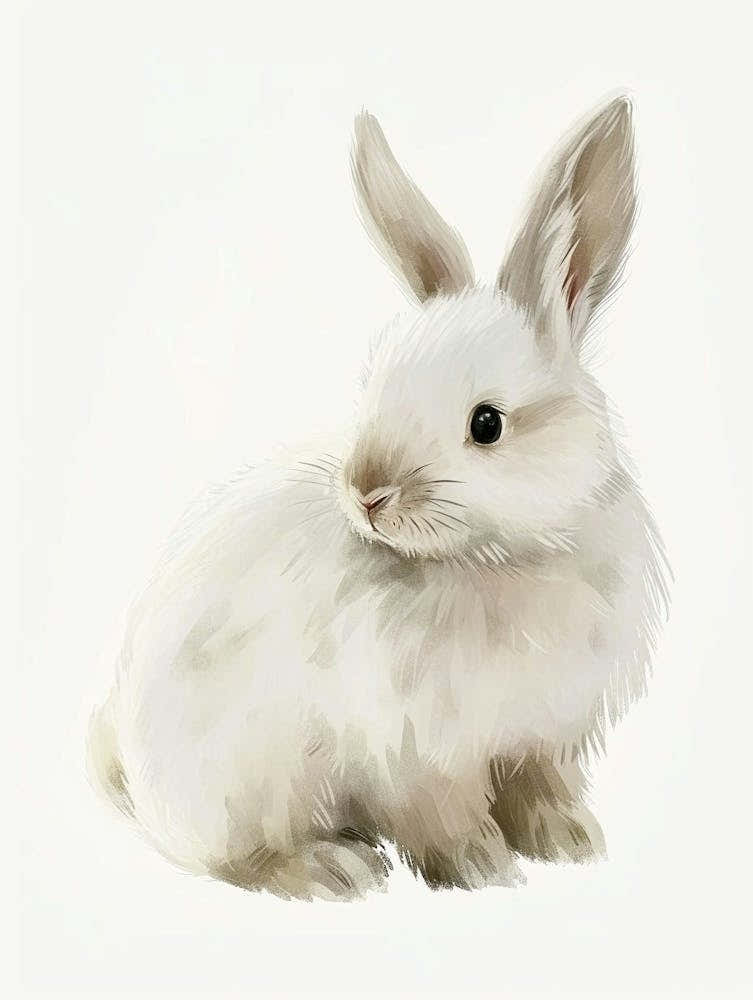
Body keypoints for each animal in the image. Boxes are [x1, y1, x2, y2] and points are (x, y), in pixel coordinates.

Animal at [88, 94, 669, 901]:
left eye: (486, 424)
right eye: (373, 389)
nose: (365, 493)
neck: (498, 559)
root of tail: (136, 781)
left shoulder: (541, 737)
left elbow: (540, 789)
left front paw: (569, 841)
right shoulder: (415, 751)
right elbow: (442, 814)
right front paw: (481, 868)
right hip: (245, 786)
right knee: (234, 859)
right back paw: (332, 868)